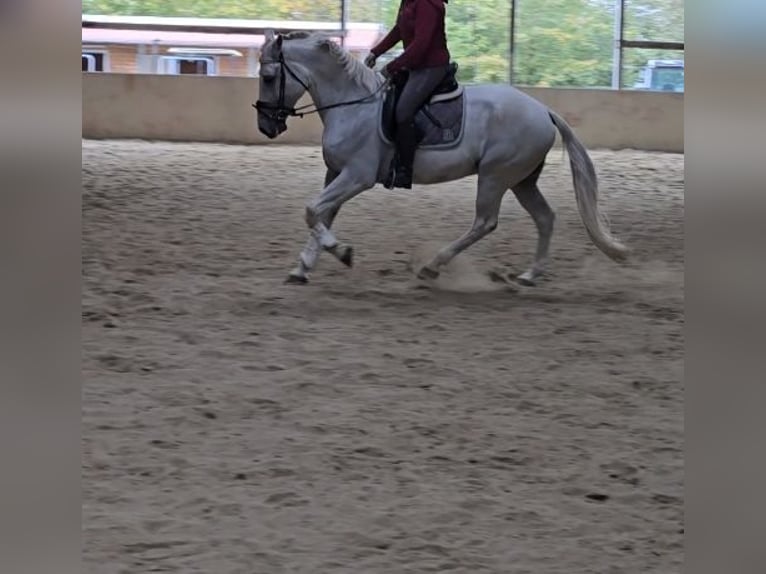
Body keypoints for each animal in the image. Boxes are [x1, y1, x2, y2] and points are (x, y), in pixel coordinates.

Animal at [255, 29, 628, 286]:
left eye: (269, 77)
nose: (266, 126)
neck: (352, 105)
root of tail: (543, 111)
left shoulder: (356, 176)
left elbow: (312, 211)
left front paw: (342, 252)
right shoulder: (335, 173)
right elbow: (321, 214)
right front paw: (302, 268)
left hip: (495, 175)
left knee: (485, 222)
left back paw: (433, 266)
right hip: (521, 180)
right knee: (545, 218)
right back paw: (529, 275)